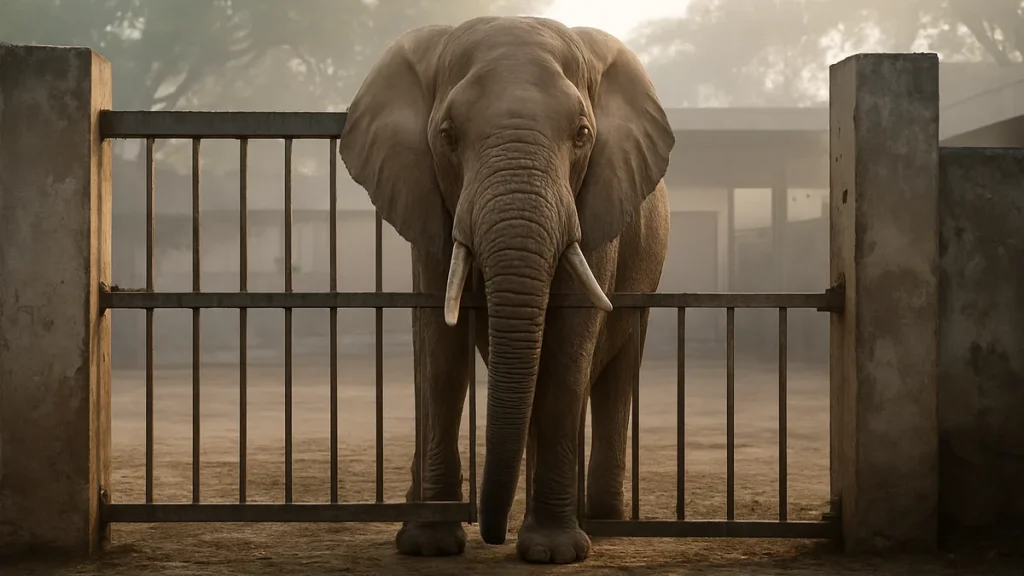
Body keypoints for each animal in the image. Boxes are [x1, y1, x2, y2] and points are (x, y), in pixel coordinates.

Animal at [339, 16, 673, 564]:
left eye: (582, 135)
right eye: (447, 136)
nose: (491, 534)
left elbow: (568, 347)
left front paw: (554, 553)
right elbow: (440, 351)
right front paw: (429, 544)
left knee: (615, 374)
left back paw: (602, 520)